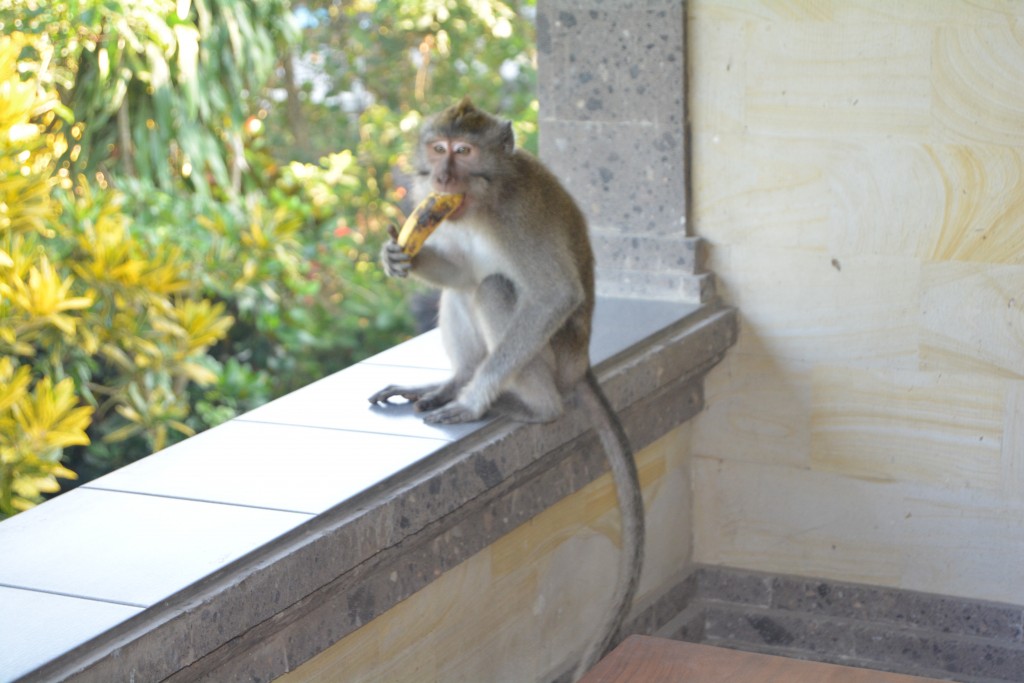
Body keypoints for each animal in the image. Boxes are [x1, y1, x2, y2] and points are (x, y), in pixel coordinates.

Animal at [366, 96, 638, 679]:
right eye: (438, 148)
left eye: (464, 152)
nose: (443, 176)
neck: (482, 201)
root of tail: (581, 365)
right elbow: (459, 273)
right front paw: (400, 256)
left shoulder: (518, 220)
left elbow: (553, 293)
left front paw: (473, 403)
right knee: (470, 286)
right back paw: (451, 382)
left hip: (551, 357)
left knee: (494, 287)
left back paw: (525, 405)